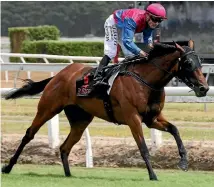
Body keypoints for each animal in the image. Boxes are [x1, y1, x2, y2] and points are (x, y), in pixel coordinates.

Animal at [1, 42, 209, 180]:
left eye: (200, 63)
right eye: (188, 63)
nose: (204, 88)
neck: (146, 80)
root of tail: (59, 75)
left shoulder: (152, 118)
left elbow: (175, 129)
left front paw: (183, 162)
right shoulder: (133, 118)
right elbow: (143, 147)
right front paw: (153, 175)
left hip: (80, 120)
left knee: (65, 146)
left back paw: (68, 175)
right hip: (48, 108)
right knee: (29, 134)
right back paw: (8, 167)